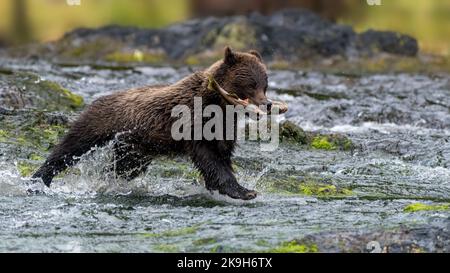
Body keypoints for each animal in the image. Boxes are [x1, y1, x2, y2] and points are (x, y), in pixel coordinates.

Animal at [31, 46, 278, 200]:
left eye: (265, 84)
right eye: (251, 84)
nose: (266, 104)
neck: (218, 104)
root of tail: (97, 99)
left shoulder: (223, 128)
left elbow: (221, 156)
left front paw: (236, 188)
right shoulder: (194, 124)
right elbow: (211, 160)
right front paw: (244, 191)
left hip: (135, 146)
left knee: (123, 166)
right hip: (100, 122)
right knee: (70, 148)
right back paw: (39, 179)